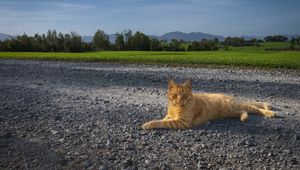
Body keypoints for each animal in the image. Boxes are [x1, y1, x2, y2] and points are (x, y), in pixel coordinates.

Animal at [142, 79, 276, 129]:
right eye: (175, 95)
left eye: (184, 96)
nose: (179, 101)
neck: (175, 108)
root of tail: (230, 97)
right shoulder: (170, 116)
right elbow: (164, 118)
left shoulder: (182, 122)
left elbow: (161, 122)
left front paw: (148, 124)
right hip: (231, 111)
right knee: (245, 111)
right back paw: (244, 118)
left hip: (234, 106)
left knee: (253, 107)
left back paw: (270, 112)